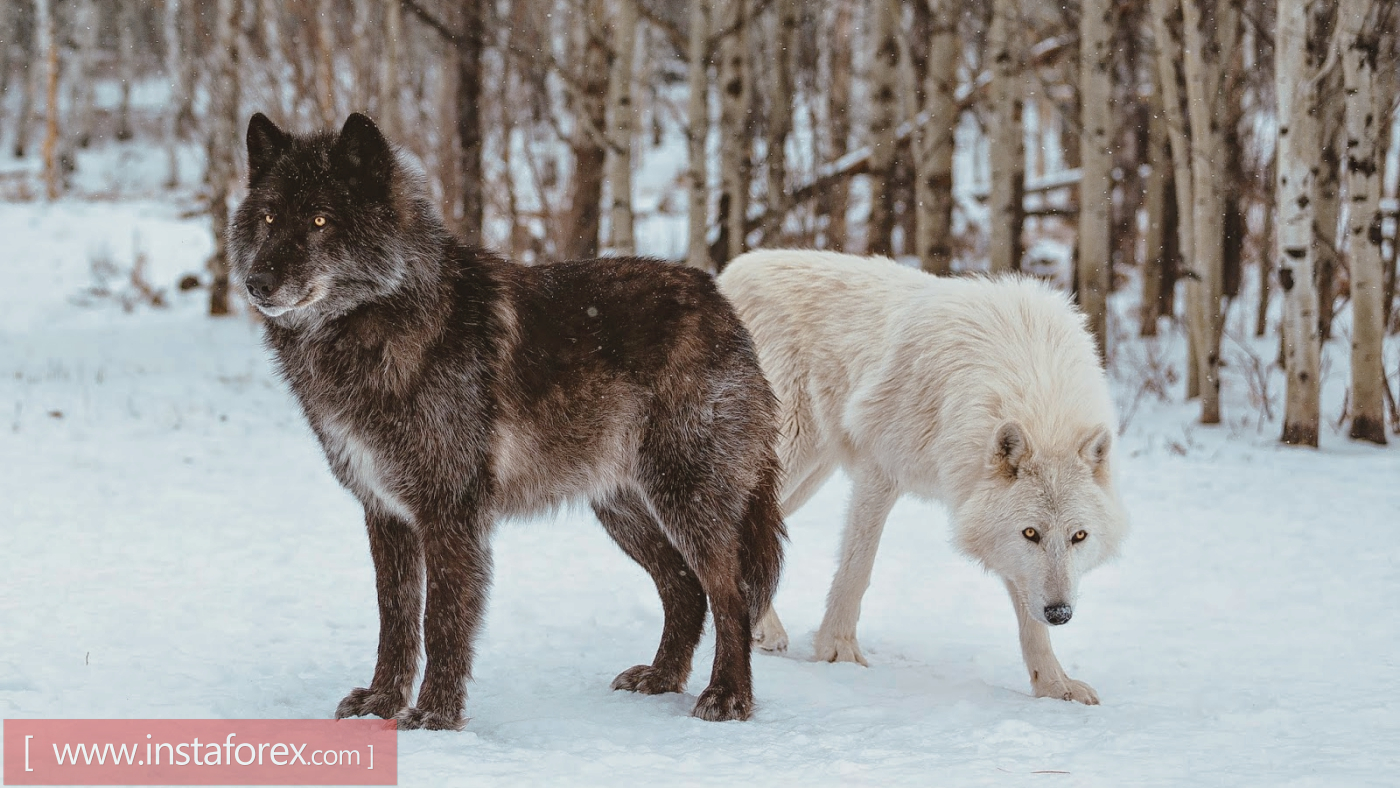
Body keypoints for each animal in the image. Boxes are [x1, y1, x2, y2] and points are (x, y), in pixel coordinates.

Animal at [224, 114, 784, 733]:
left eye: (321, 220)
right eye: (269, 218)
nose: (257, 282)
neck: (375, 325)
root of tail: (718, 297)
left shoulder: (449, 511)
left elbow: (442, 620)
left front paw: (436, 713)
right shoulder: (385, 512)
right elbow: (395, 619)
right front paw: (381, 703)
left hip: (685, 498)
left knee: (730, 593)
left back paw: (728, 696)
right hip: (623, 509)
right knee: (684, 588)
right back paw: (661, 679)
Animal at [716, 251, 1131, 702]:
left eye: (1079, 536)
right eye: (1031, 533)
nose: (1060, 613)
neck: (1034, 386)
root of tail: (731, 271)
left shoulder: (979, 507)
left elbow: (1029, 619)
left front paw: (1055, 685)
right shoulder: (880, 470)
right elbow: (856, 571)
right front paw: (838, 652)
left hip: (809, 470)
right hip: (790, 452)